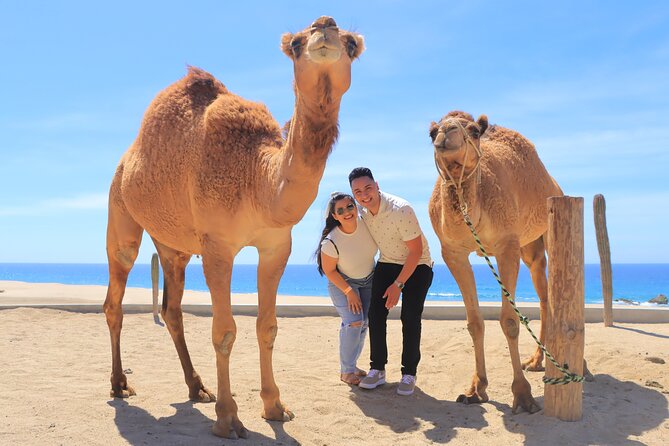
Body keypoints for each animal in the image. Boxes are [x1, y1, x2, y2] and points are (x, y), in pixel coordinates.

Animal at [104, 18, 366, 440]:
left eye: (351, 45)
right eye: (296, 43)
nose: (324, 27)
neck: (257, 177)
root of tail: (127, 159)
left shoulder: (276, 245)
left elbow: (268, 326)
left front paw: (275, 407)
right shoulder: (218, 247)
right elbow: (224, 331)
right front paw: (229, 419)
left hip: (173, 245)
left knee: (172, 308)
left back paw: (197, 387)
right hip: (120, 210)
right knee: (116, 293)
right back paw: (118, 384)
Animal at [426, 111, 560, 414]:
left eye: (474, 131)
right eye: (432, 133)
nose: (446, 133)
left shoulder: (506, 246)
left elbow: (509, 320)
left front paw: (523, 395)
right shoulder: (452, 252)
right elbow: (474, 322)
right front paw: (476, 389)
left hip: (550, 223)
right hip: (529, 246)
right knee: (543, 288)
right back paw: (536, 361)